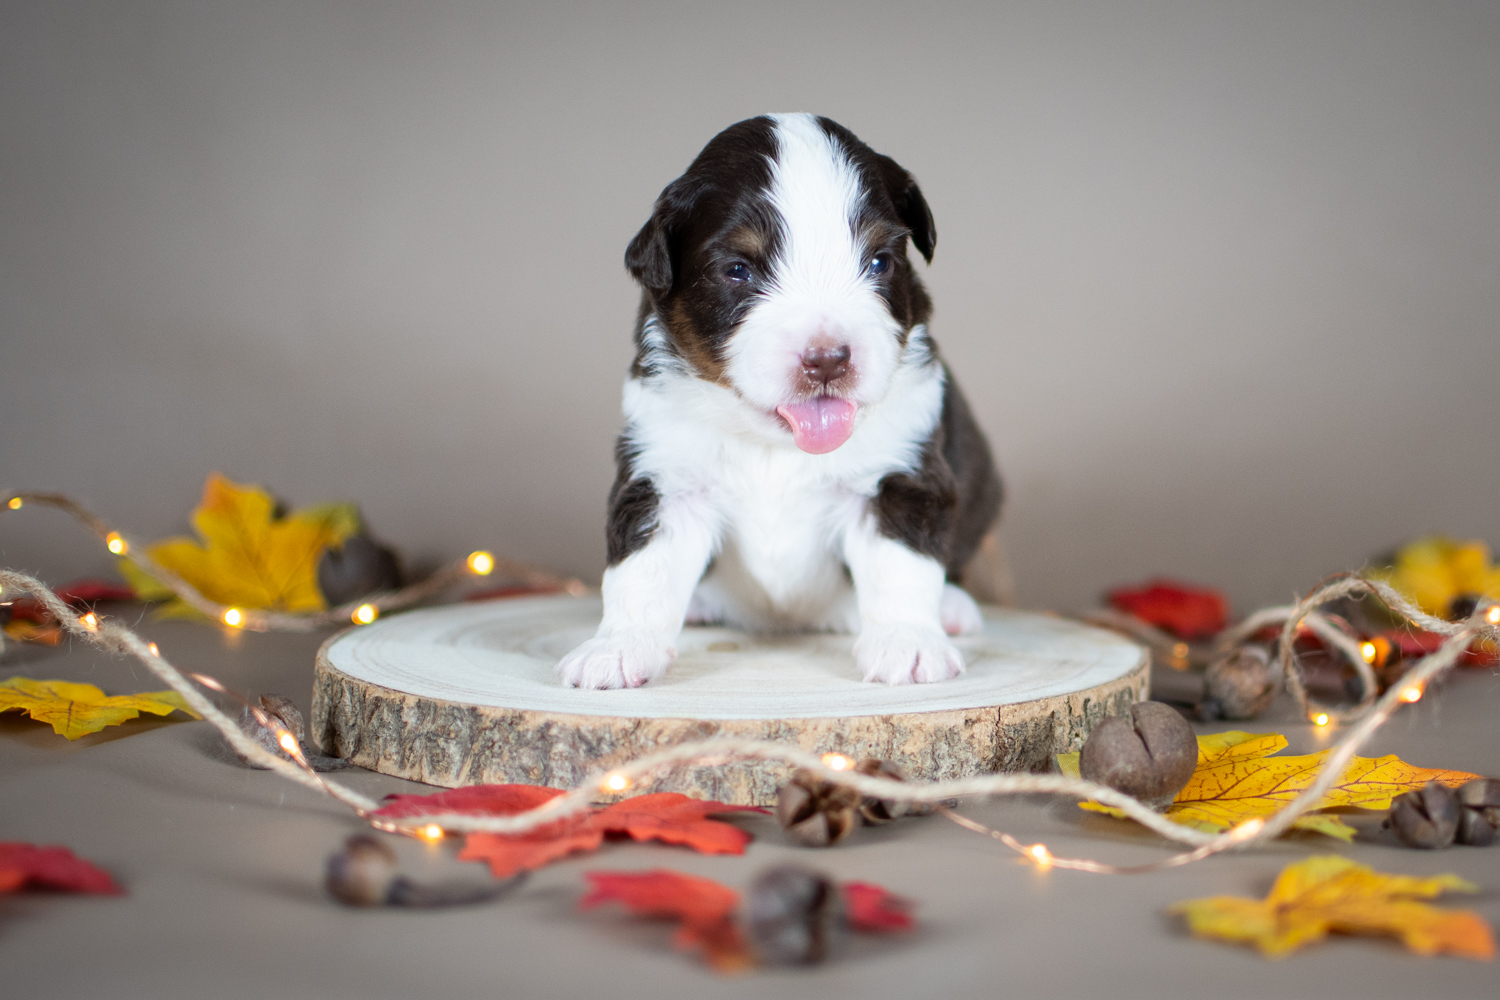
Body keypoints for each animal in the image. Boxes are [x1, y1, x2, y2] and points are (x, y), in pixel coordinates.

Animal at [558, 111, 1002, 689]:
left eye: (879, 262)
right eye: (738, 270)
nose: (828, 359)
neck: (777, 443)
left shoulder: (900, 473)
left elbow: (902, 566)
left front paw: (909, 643)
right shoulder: (665, 474)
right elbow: (639, 572)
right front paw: (615, 648)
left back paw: (951, 607)